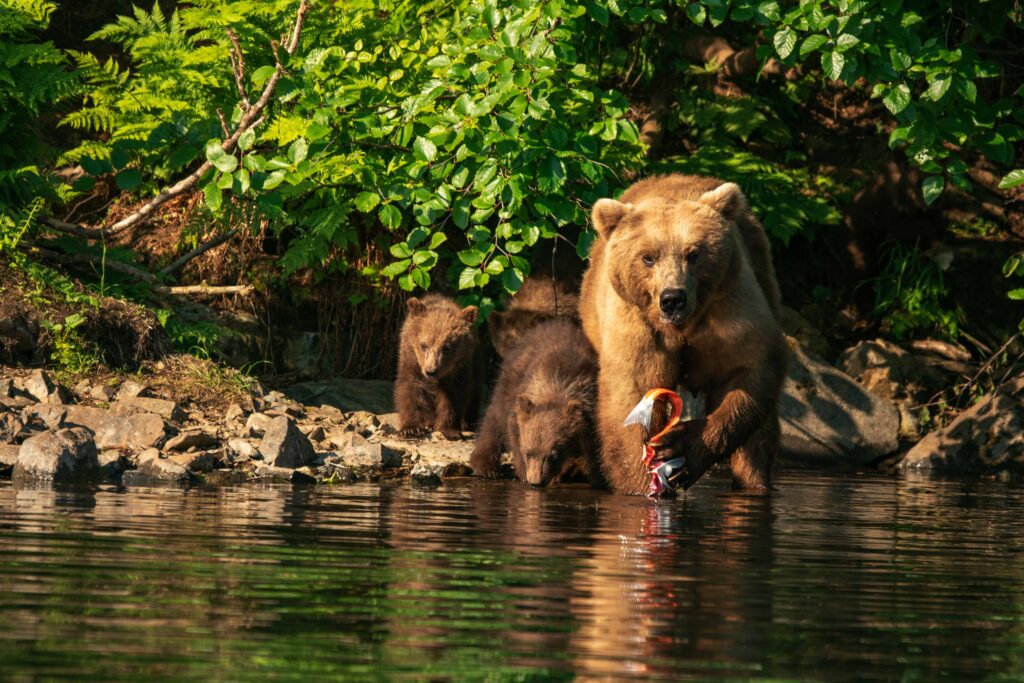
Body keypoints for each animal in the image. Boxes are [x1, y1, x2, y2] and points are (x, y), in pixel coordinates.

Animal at [394, 294, 480, 439]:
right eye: (424, 345)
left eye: (447, 347)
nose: (431, 371)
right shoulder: (412, 361)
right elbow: (410, 389)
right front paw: (411, 428)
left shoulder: (459, 368)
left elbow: (453, 396)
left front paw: (451, 430)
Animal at [469, 318, 603, 487]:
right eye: (528, 452)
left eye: (553, 454)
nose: (536, 482)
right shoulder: (519, 407)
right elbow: (513, 434)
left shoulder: (591, 411)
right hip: (507, 382)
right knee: (493, 420)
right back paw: (486, 467)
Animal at [578, 173, 787, 494]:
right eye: (648, 257)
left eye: (694, 253)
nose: (672, 298)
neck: (682, 327)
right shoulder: (638, 323)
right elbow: (632, 396)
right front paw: (640, 481)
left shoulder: (729, 307)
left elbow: (747, 370)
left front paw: (680, 451)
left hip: (761, 270)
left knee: (758, 438)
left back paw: (754, 482)